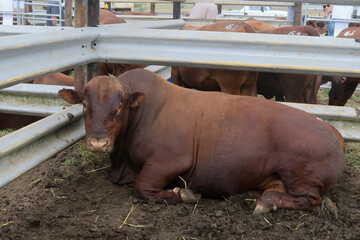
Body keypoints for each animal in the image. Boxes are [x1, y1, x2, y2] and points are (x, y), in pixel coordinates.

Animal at [59, 68, 346, 216]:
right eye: (84, 105)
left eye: (119, 107)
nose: (98, 143)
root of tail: (332, 130)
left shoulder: (170, 161)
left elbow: (142, 188)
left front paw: (181, 193)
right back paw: (260, 195)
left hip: (301, 176)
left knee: (310, 199)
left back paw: (266, 203)